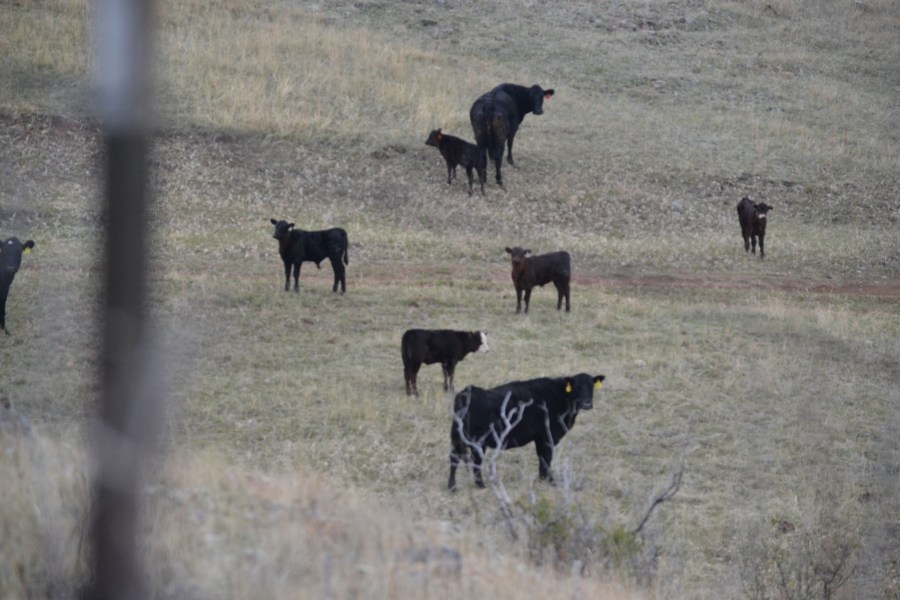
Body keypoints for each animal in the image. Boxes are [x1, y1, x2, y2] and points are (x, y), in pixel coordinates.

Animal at [448, 372, 604, 490]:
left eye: (591, 386)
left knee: (454, 458)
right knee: (475, 462)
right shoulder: (547, 437)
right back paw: (480, 485)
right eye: (576, 387)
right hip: (478, 442)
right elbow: (546, 458)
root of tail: (467, 392)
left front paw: (543, 479)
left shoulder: (539, 438)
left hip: (457, 439)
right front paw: (551, 481)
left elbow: (542, 457)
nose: (587, 404)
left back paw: (452, 487)